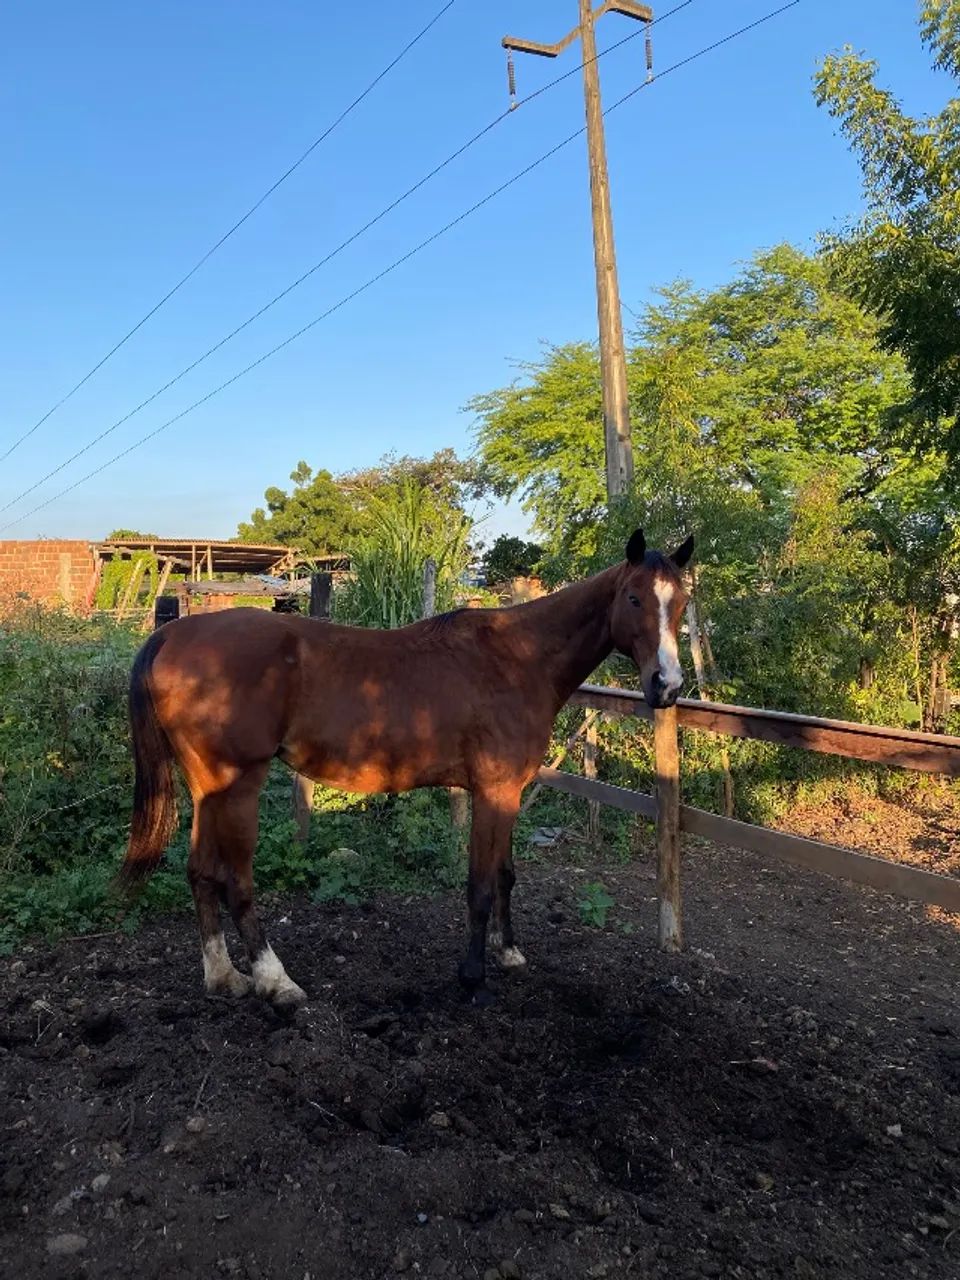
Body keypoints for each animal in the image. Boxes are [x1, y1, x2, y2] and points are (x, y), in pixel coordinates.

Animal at [116, 528, 693, 1006]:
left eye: (682, 602)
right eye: (634, 598)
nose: (666, 686)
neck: (519, 659)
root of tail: (174, 636)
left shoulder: (508, 791)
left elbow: (505, 875)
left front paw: (508, 951)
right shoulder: (493, 791)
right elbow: (480, 885)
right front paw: (472, 976)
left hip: (208, 790)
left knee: (200, 873)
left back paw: (223, 977)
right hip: (239, 788)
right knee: (237, 882)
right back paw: (276, 982)